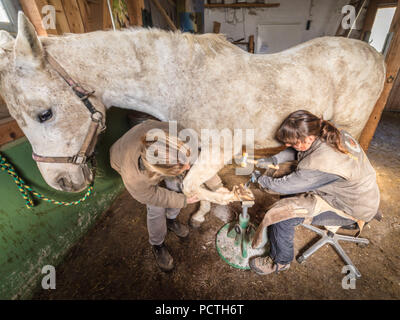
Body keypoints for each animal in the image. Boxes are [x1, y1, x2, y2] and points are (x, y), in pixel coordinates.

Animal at [0, 13, 388, 222]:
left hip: (345, 131)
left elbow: (190, 185)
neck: (184, 82)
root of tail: (373, 53)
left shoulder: (219, 149)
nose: (60, 182)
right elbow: (198, 184)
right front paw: (205, 211)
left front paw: (232, 198)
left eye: (44, 113)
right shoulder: (198, 148)